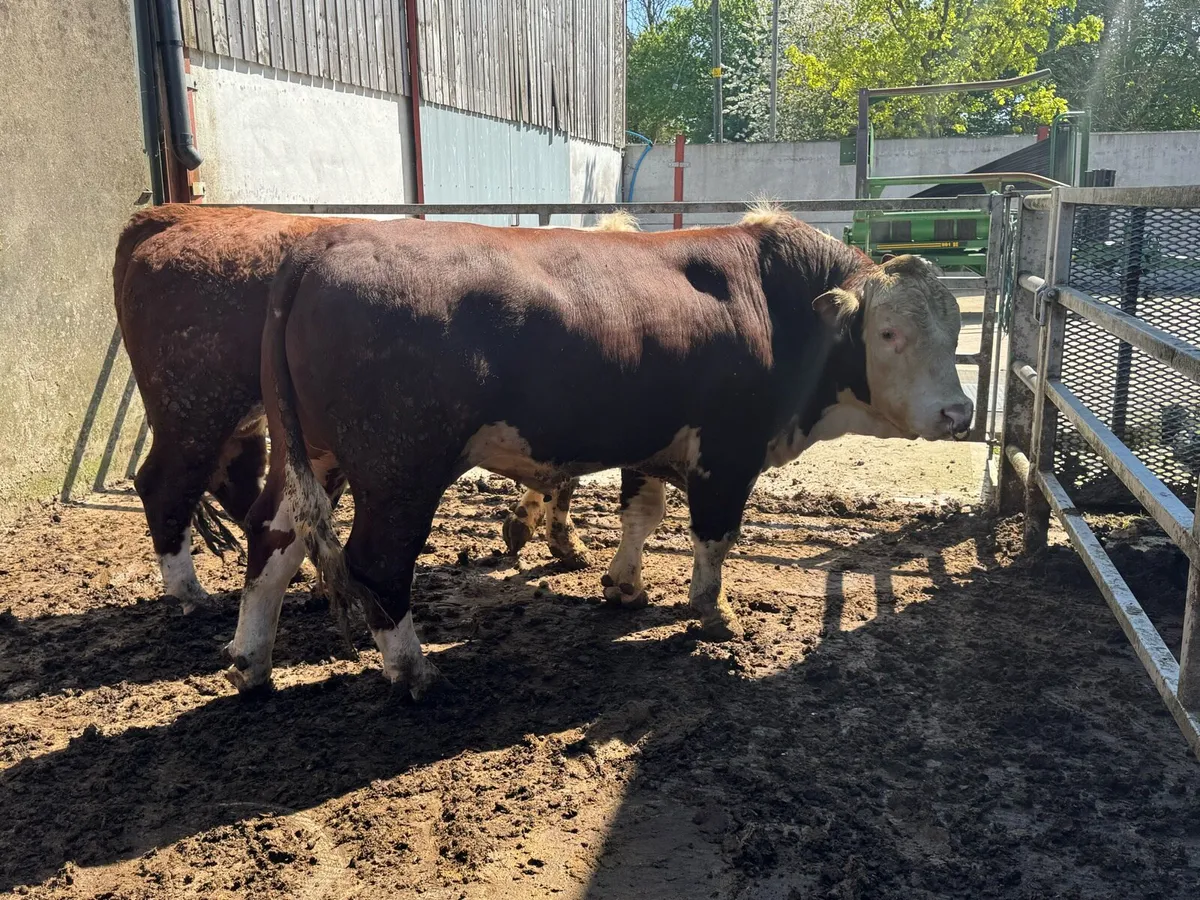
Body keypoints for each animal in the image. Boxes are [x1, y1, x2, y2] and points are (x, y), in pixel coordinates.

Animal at [114, 205, 633, 610]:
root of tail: (175, 215)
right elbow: (564, 479)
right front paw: (553, 538)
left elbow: (560, 478)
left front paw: (544, 535)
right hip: (195, 408)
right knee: (165, 484)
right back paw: (190, 592)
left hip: (246, 420)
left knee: (242, 484)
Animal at [221, 205, 972, 696]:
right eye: (889, 334)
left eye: (955, 326)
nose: (959, 412)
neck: (771, 302)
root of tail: (324, 243)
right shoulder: (728, 451)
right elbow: (714, 536)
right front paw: (713, 612)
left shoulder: (652, 440)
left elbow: (641, 515)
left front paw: (624, 586)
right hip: (399, 467)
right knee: (377, 563)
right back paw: (413, 670)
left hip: (311, 453)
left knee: (272, 538)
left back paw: (252, 662)